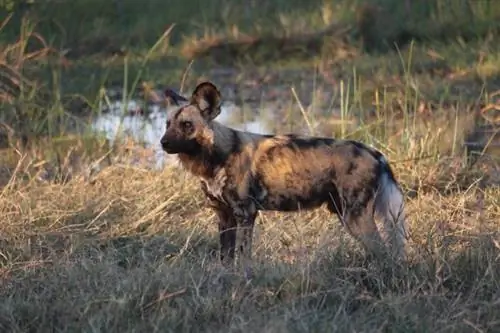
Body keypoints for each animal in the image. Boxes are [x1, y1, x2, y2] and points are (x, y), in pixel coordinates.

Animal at [159, 81, 406, 278]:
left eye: (187, 125)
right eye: (167, 124)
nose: (163, 142)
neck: (215, 156)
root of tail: (376, 153)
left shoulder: (245, 213)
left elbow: (243, 254)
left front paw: (244, 278)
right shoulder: (224, 215)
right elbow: (226, 256)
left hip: (355, 217)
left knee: (383, 252)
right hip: (346, 214)